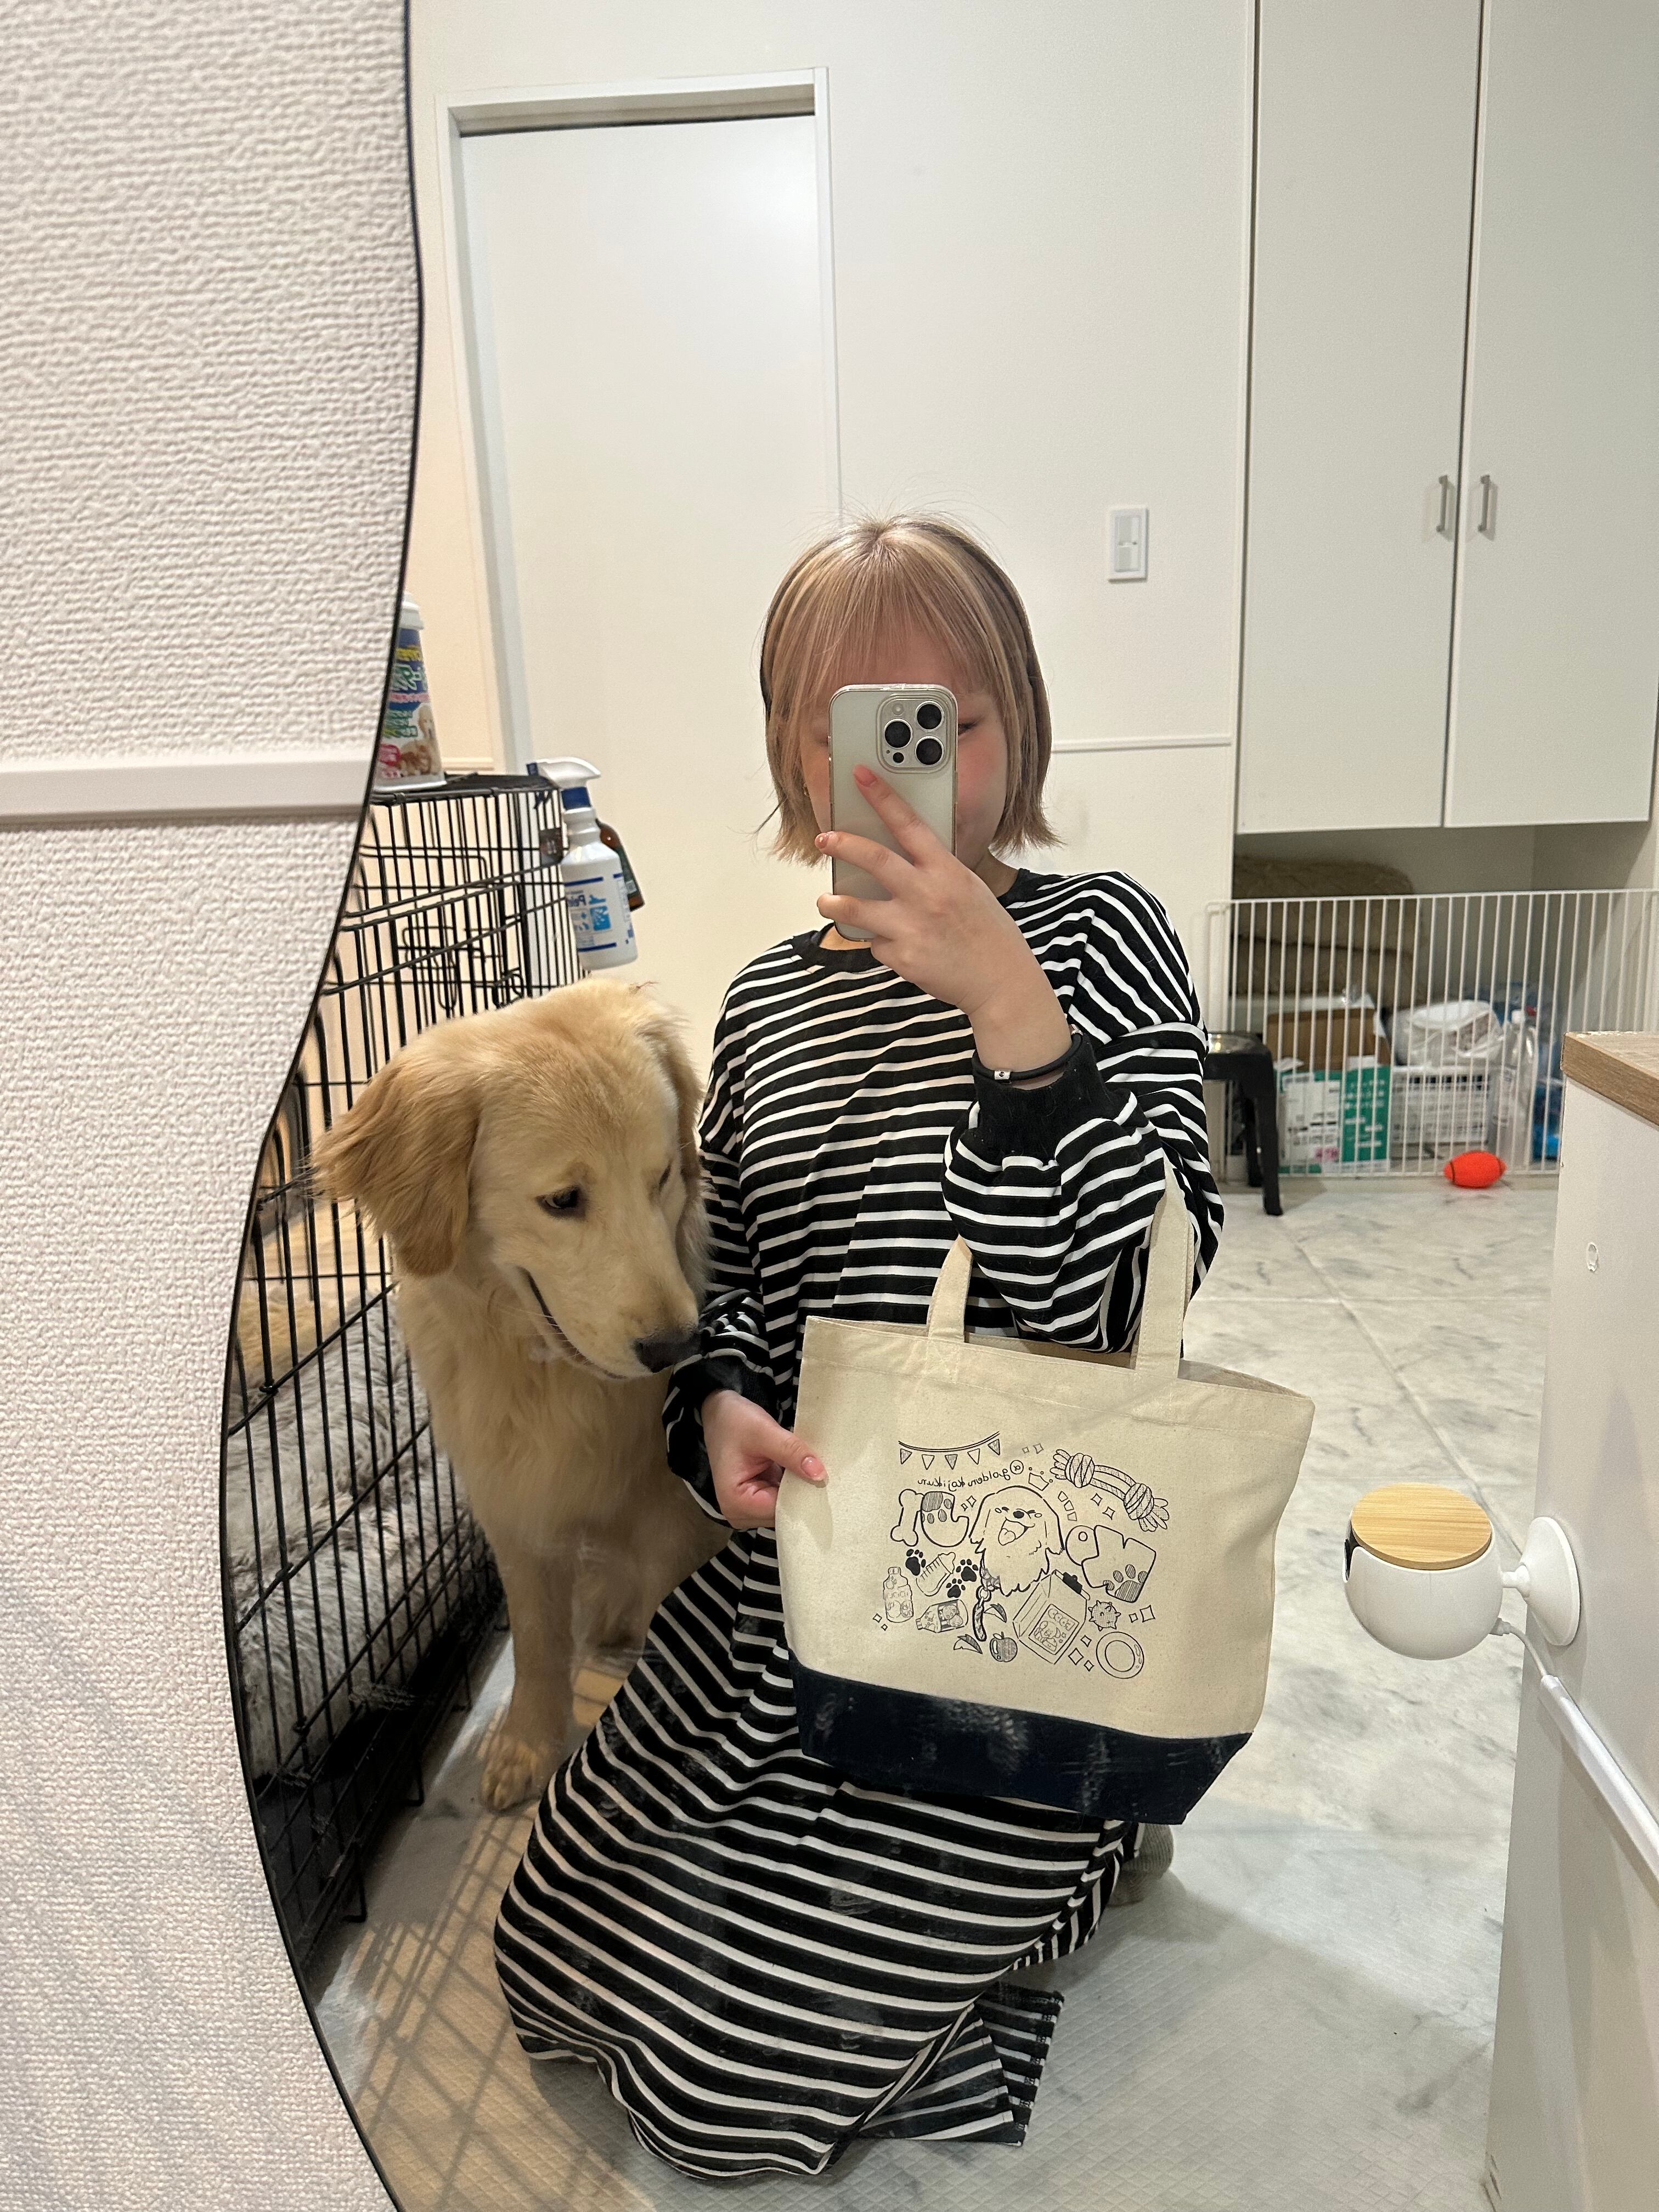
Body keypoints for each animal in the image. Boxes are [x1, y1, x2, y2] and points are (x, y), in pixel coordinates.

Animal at [312, 976, 728, 1809]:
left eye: (662, 1177)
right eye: (564, 1200)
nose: (676, 1348)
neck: (548, 1374)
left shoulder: (674, 1525)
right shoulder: (514, 1510)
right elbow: (537, 1642)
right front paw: (529, 1746)